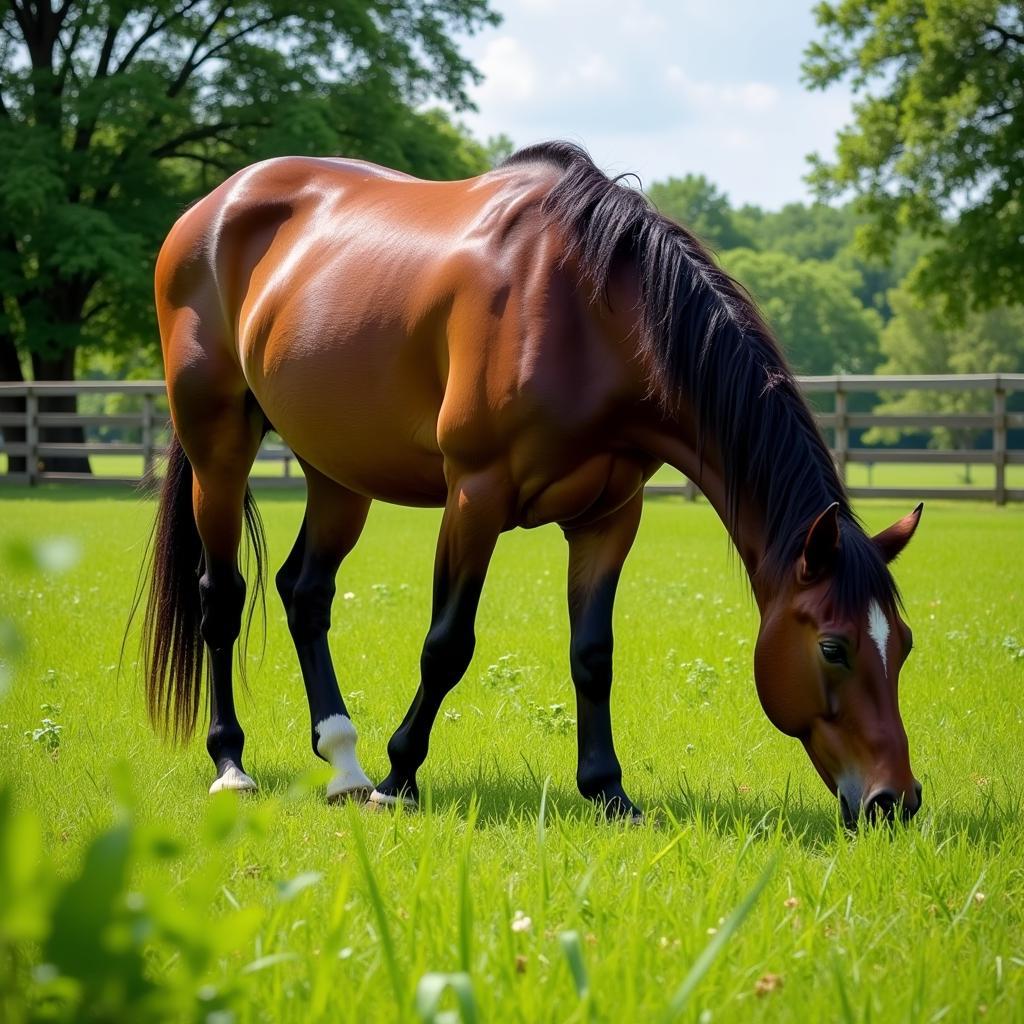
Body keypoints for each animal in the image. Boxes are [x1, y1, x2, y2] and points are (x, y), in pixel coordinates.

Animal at [140, 142, 925, 823]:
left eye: (905, 645)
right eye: (833, 647)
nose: (894, 800)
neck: (588, 312)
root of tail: (213, 205)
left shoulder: (611, 515)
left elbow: (593, 653)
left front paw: (608, 791)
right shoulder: (475, 495)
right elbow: (447, 643)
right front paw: (400, 778)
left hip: (338, 473)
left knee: (305, 593)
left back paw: (343, 763)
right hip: (218, 450)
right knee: (221, 596)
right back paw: (234, 764)